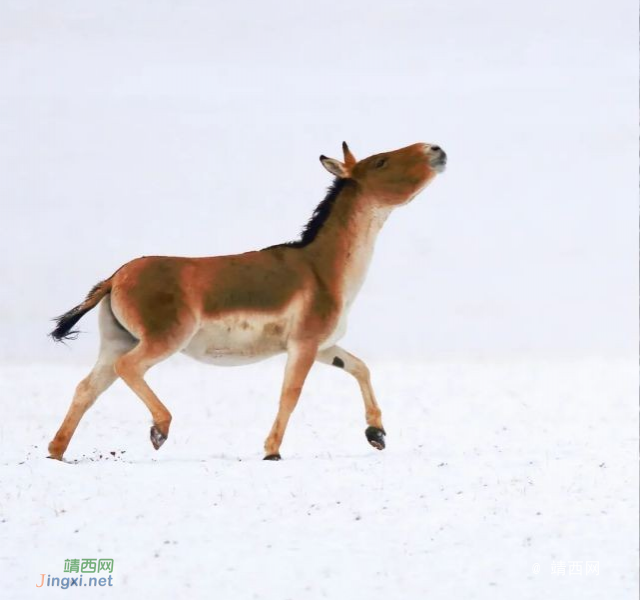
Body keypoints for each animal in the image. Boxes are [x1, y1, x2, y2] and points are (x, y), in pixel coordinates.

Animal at [48, 143, 444, 462]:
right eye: (380, 161)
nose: (435, 149)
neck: (321, 266)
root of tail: (116, 277)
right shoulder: (304, 345)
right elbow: (291, 394)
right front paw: (272, 451)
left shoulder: (322, 346)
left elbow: (360, 368)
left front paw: (376, 434)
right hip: (163, 339)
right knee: (128, 369)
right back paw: (160, 428)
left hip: (117, 341)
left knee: (87, 388)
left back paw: (56, 452)